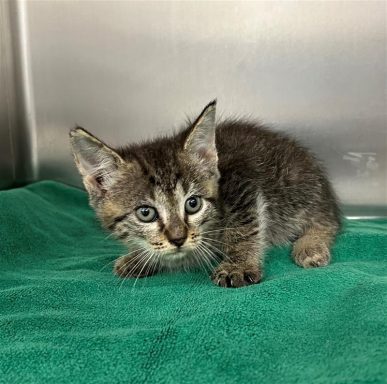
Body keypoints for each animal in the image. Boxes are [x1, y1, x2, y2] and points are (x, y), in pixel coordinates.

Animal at [69, 101, 340, 288]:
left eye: (193, 204)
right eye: (145, 213)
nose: (178, 239)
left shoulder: (241, 180)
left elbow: (243, 226)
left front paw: (238, 265)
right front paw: (141, 257)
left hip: (297, 188)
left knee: (326, 220)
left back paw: (310, 245)